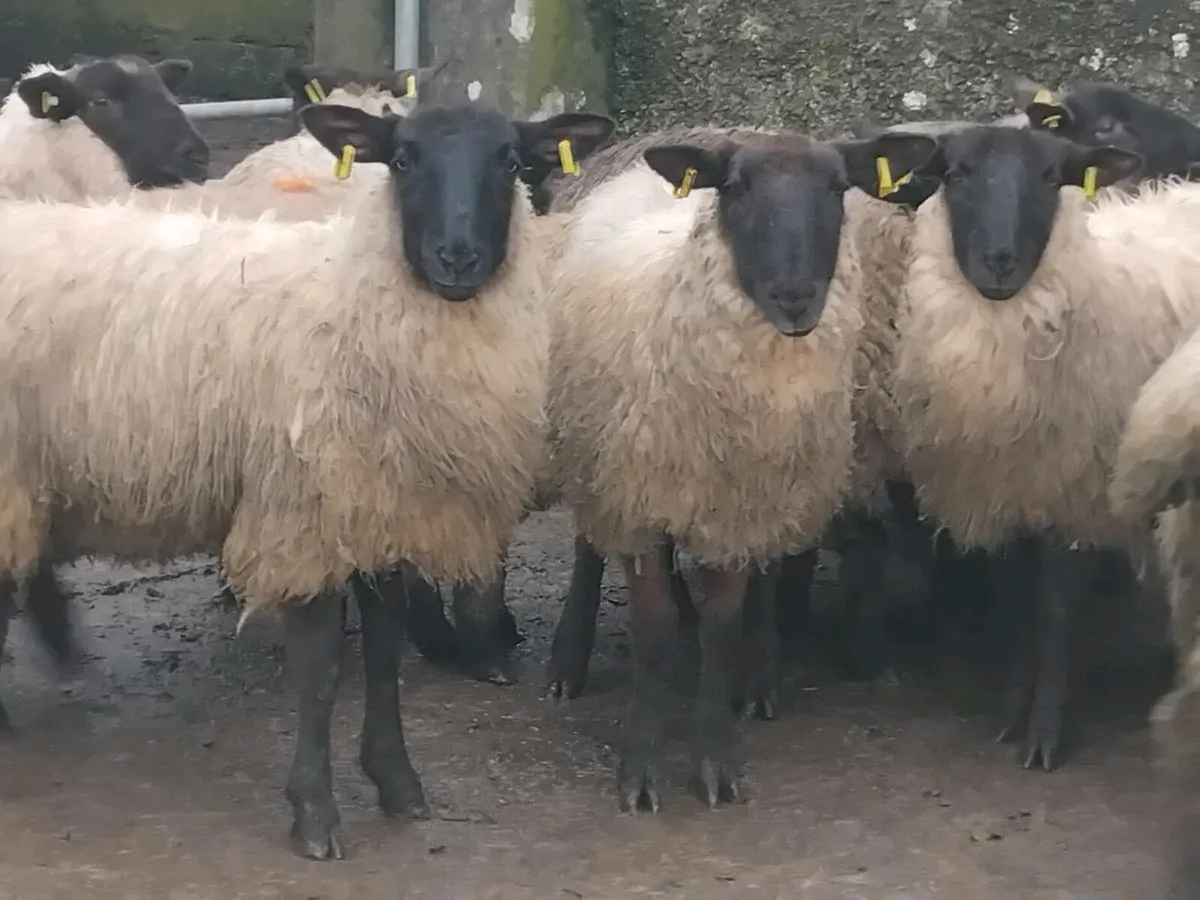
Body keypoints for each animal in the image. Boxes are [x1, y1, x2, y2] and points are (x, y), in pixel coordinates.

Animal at [0, 99, 615, 859]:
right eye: (402, 160)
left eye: (510, 162)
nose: (456, 257)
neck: (348, 301)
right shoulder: (306, 514)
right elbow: (320, 670)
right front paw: (316, 813)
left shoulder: (383, 510)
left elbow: (384, 653)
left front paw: (397, 782)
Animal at [544, 129, 936, 810]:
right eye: (736, 187)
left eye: (838, 187)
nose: (795, 297)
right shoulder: (641, 497)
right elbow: (653, 631)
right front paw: (638, 773)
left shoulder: (739, 504)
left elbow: (721, 628)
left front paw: (716, 761)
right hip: (594, 452)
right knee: (590, 546)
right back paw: (569, 660)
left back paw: (756, 676)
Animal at [890, 125, 1200, 771]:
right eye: (955, 173)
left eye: (1051, 177)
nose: (1000, 262)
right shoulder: (1004, 489)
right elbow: (1013, 605)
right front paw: (1012, 714)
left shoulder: (1075, 490)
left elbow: (1054, 613)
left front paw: (1045, 736)